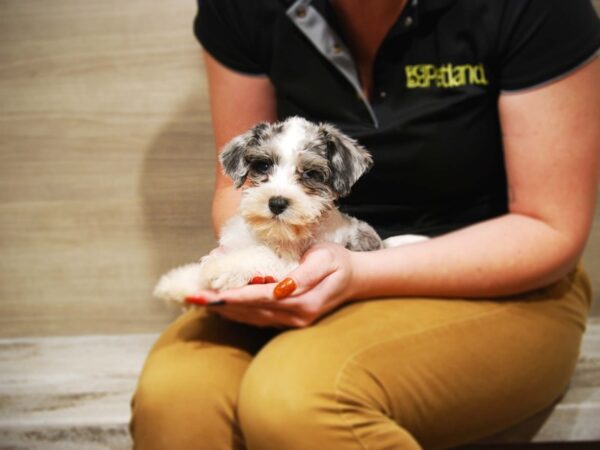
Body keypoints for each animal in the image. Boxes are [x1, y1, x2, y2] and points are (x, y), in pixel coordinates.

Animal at [155, 117, 424, 306]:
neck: (274, 235)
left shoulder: (291, 267)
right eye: (263, 165)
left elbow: (261, 256)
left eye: (310, 173)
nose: (276, 203)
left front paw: (222, 268)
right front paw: (178, 282)